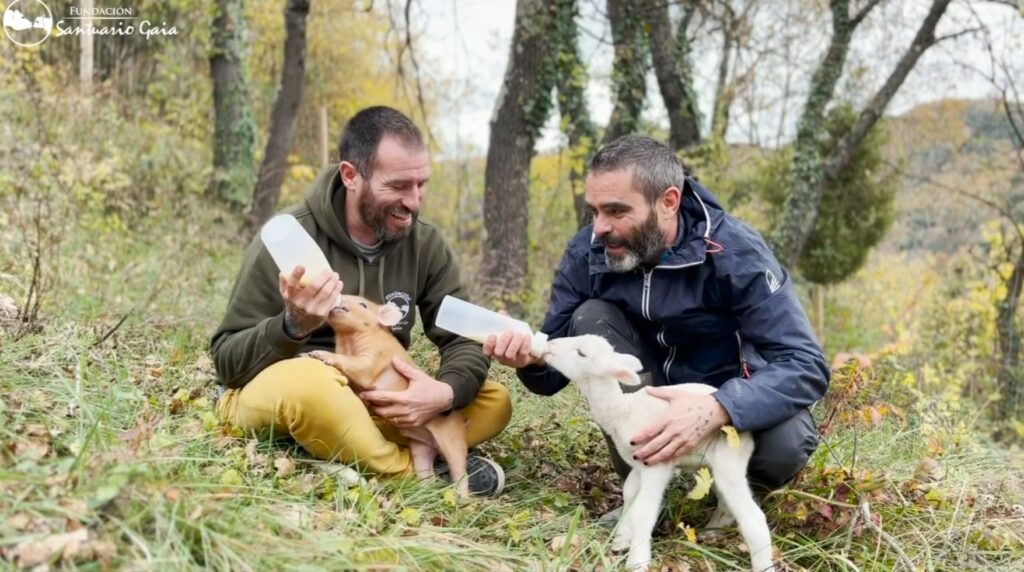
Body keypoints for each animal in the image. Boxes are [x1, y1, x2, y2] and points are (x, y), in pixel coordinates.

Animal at [544, 335, 774, 572]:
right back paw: (713, 531)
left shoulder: (656, 464)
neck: (622, 410)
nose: (550, 344)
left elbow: (643, 511)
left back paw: (763, 565)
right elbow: (629, 494)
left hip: (729, 458)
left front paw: (637, 560)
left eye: (581, 353)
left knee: (754, 518)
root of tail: (748, 435)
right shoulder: (638, 463)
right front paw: (621, 539)